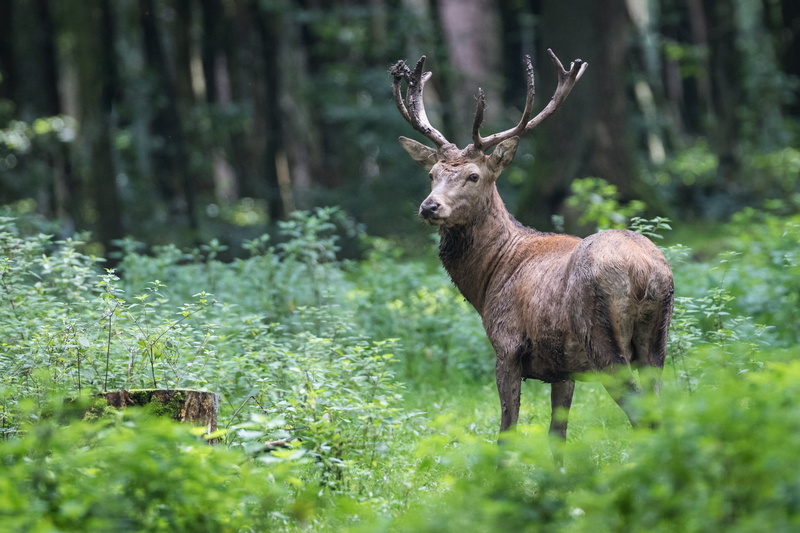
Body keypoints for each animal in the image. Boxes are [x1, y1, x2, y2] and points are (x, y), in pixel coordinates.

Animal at [390, 50, 674, 455]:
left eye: (474, 176)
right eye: (432, 174)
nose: (430, 207)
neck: (490, 276)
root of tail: (645, 271)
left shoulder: (507, 347)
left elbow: (506, 432)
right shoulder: (563, 367)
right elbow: (557, 437)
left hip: (602, 336)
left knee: (641, 415)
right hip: (658, 342)